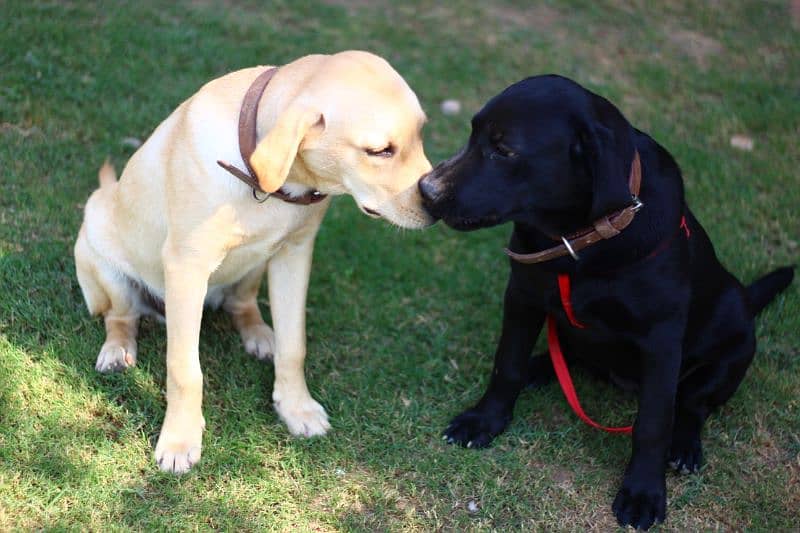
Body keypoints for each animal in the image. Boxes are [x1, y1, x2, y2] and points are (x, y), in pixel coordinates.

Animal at [75, 52, 434, 472]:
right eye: (380, 151)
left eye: (421, 134)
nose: (438, 200)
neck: (267, 184)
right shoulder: (186, 266)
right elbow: (184, 370)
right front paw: (180, 439)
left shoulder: (295, 253)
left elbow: (295, 346)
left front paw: (296, 408)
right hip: (99, 243)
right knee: (120, 316)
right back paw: (117, 350)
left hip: (256, 265)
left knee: (243, 304)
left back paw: (261, 335)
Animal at [418, 75, 792, 528]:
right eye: (473, 134)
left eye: (504, 150)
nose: (425, 191)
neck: (577, 239)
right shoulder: (523, 295)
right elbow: (505, 364)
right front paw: (484, 420)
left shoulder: (661, 339)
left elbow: (654, 422)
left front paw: (643, 493)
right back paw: (538, 369)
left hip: (736, 345)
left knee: (692, 403)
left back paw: (684, 446)